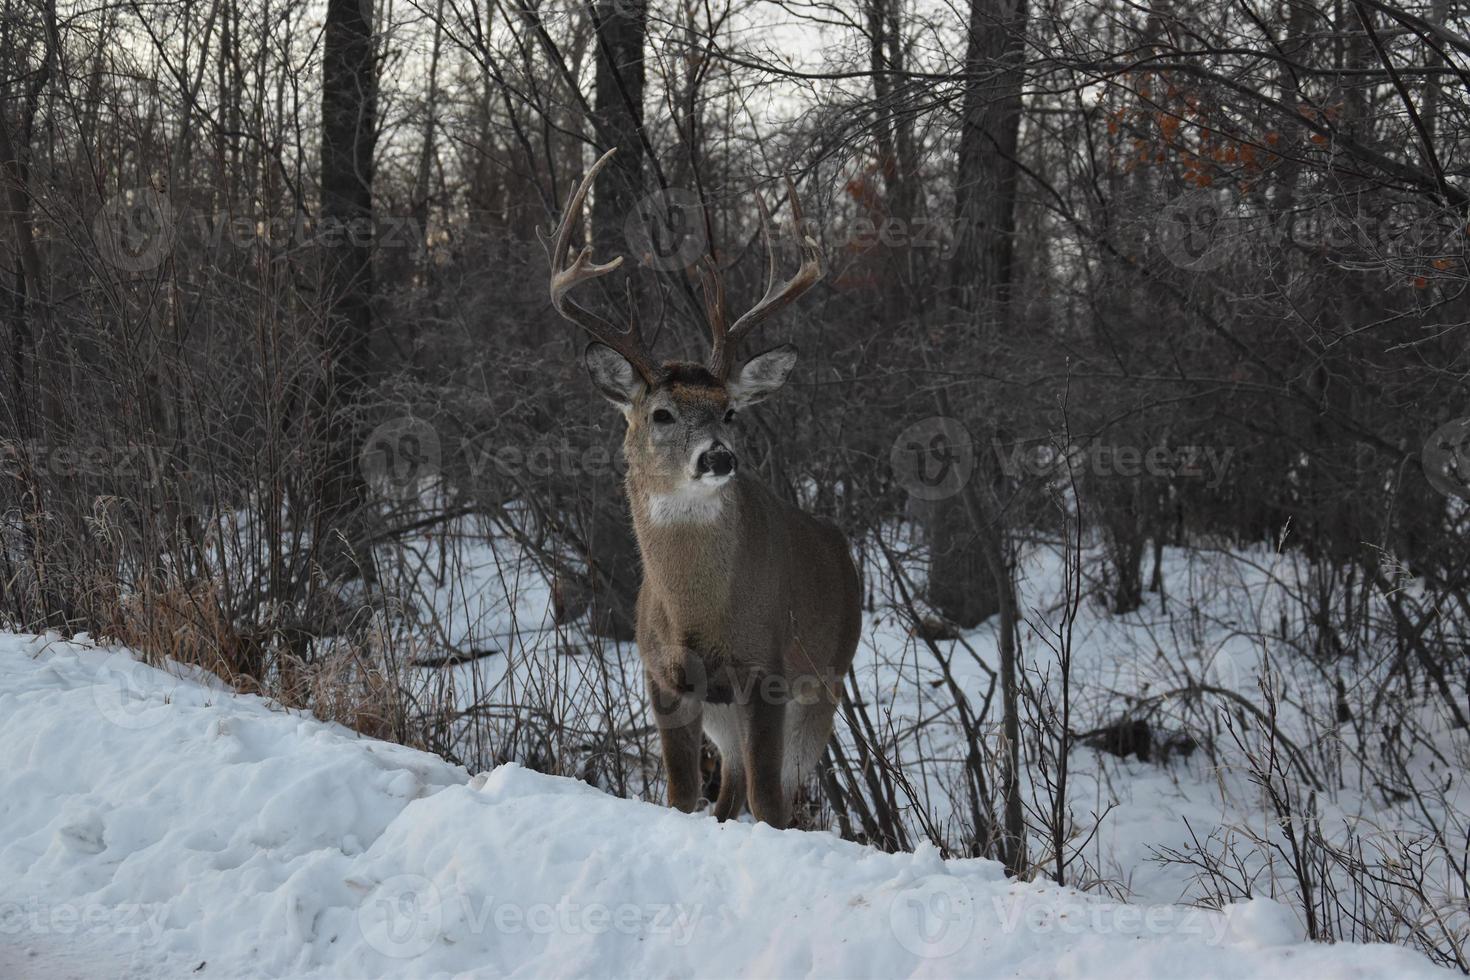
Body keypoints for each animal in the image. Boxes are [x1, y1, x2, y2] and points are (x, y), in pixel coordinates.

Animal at [543, 151, 858, 828]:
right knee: (730, 782)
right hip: (724, 710)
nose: (718, 455)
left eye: (730, 411)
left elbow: (770, 801)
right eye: (661, 413)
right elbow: (681, 793)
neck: (697, 614)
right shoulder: (663, 678)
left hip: (825, 682)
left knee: (778, 784)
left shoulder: (768, 671)